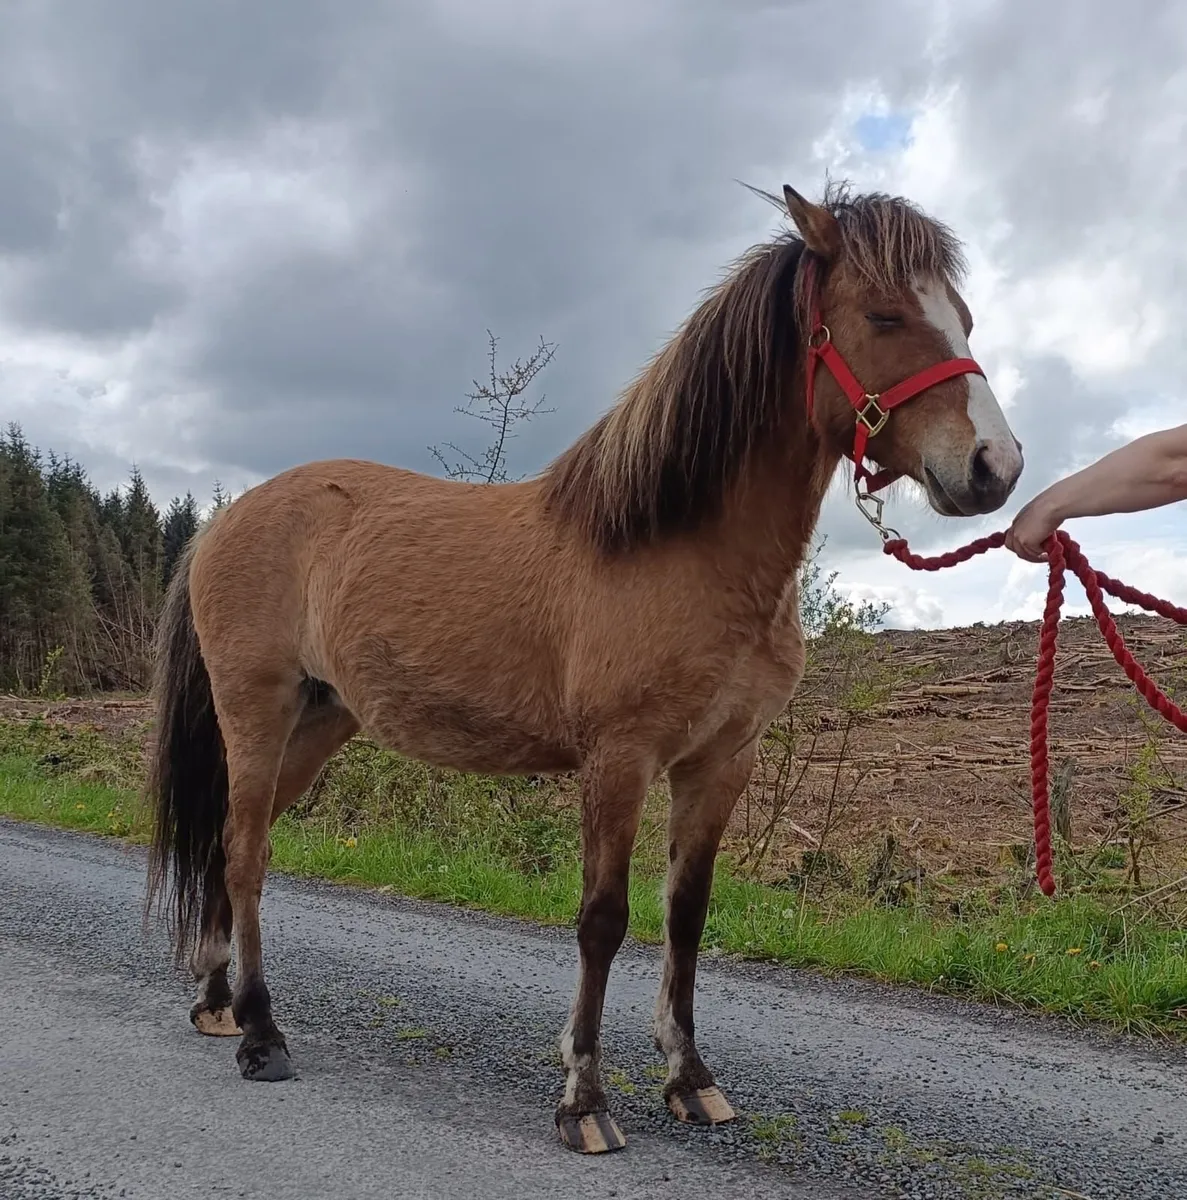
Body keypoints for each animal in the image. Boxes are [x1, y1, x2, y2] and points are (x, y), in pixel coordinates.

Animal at [145, 181, 1024, 1155]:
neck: (679, 549)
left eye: (964, 318)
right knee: (246, 853)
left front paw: (691, 1080)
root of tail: (224, 521)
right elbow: (602, 921)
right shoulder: (618, 759)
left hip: (318, 720)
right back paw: (262, 1033)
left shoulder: (720, 763)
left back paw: (217, 1002)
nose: (993, 467)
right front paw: (584, 1100)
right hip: (256, 711)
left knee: (233, 843)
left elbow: (686, 915)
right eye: (884, 315)